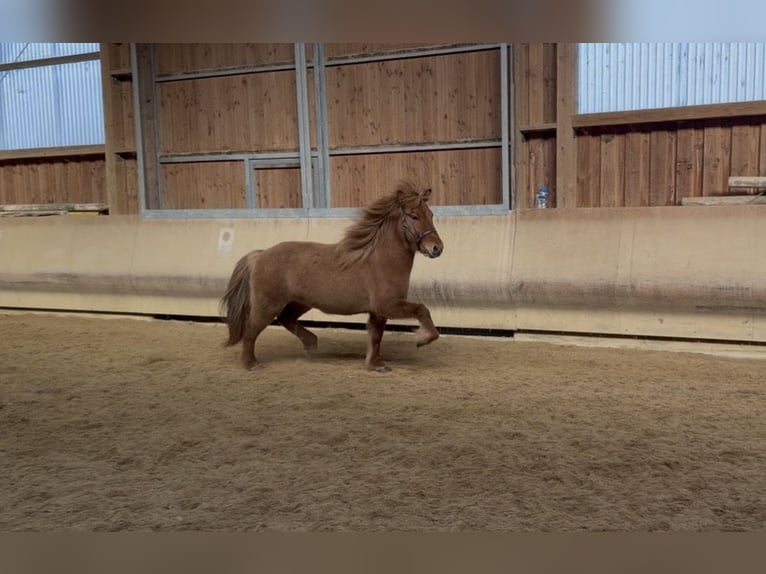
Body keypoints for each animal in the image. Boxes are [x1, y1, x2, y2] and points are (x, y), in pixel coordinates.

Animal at [220, 181, 444, 372]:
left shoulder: (377, 311)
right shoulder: (387, 305)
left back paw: (311, 344)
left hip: (300, 302)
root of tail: (260, 255)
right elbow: (422, 310)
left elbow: (375, 337)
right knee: (251, 331)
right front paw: (421, 340)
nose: (437, 248)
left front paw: (375, 364)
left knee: (286, 318)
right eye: (414, 216)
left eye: (431, 214)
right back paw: (251, 364)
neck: (381, 260)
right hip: (268, 305)